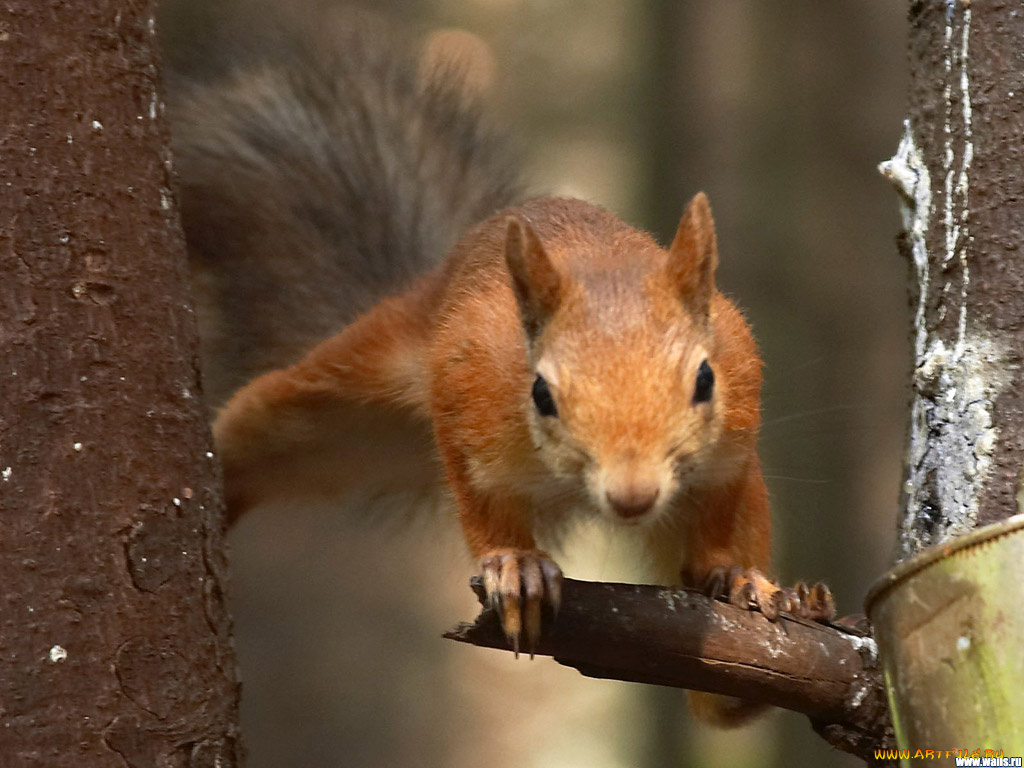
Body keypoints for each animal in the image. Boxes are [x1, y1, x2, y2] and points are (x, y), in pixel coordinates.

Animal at [174, 6, 831, 729]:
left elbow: (716, 520)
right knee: (261, 426)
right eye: (540, 394)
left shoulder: (731, 444)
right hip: (338, 398)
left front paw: (735, 575)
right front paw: (516, 569)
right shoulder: (468, 392)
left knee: (724, 702)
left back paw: (786, 603)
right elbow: (479, 495)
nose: (633, 496)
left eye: (705, 381)